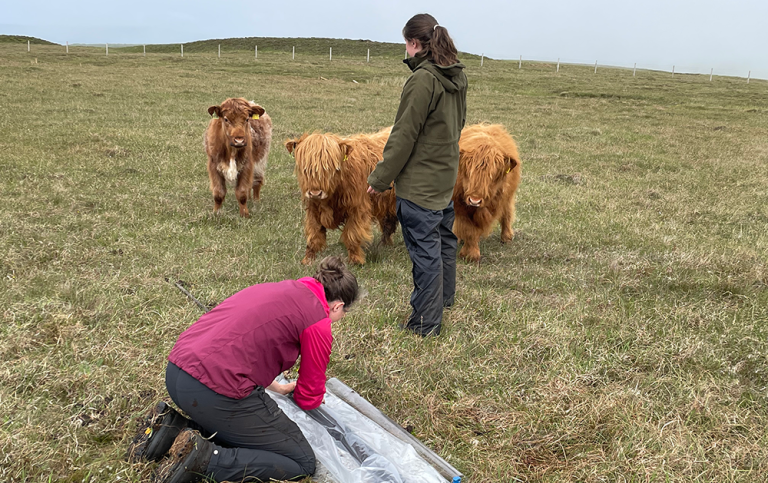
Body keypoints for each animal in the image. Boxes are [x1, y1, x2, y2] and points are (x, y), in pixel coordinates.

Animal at [286, 127, 400, 264]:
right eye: (304, 169)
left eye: (331, 168)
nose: (315, 193)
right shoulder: (313, 209)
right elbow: (314, 235)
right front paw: (308, 260)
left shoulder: (357, 209)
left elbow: (352, 235)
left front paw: (356, 260)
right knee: (388, 223)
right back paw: (385, 245)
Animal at [452, 123, 524, 262]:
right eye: (468, 172)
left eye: (493, 176)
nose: (475, 200)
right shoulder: (459, 206)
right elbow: (467, 228)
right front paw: (469, 254)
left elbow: (474, 230)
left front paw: (471, 254)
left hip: (507, 198)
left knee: (507, 214)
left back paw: (506, 238)